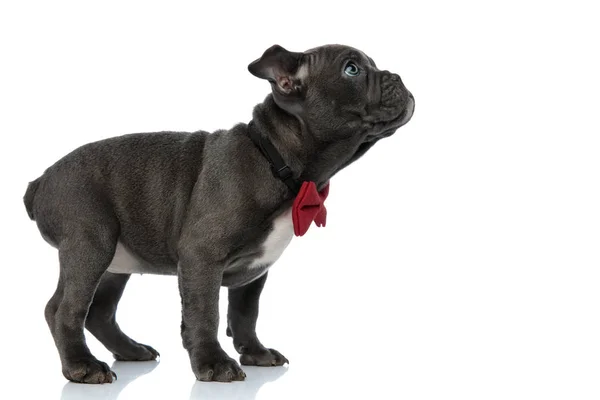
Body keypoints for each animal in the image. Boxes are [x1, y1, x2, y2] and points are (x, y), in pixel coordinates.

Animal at [24, 42, 418, 382]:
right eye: (352, 69)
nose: (398, 76)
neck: (276, 158)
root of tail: (40, 180)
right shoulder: (202, 257)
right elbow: (205, 313)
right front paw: (213, 364)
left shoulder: (255, 272)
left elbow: (245, 313)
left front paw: (256, 353)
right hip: (91, 243)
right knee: (65, 309)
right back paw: (82, 367)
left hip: (117, 263)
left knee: (99, 312)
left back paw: (130, 350)